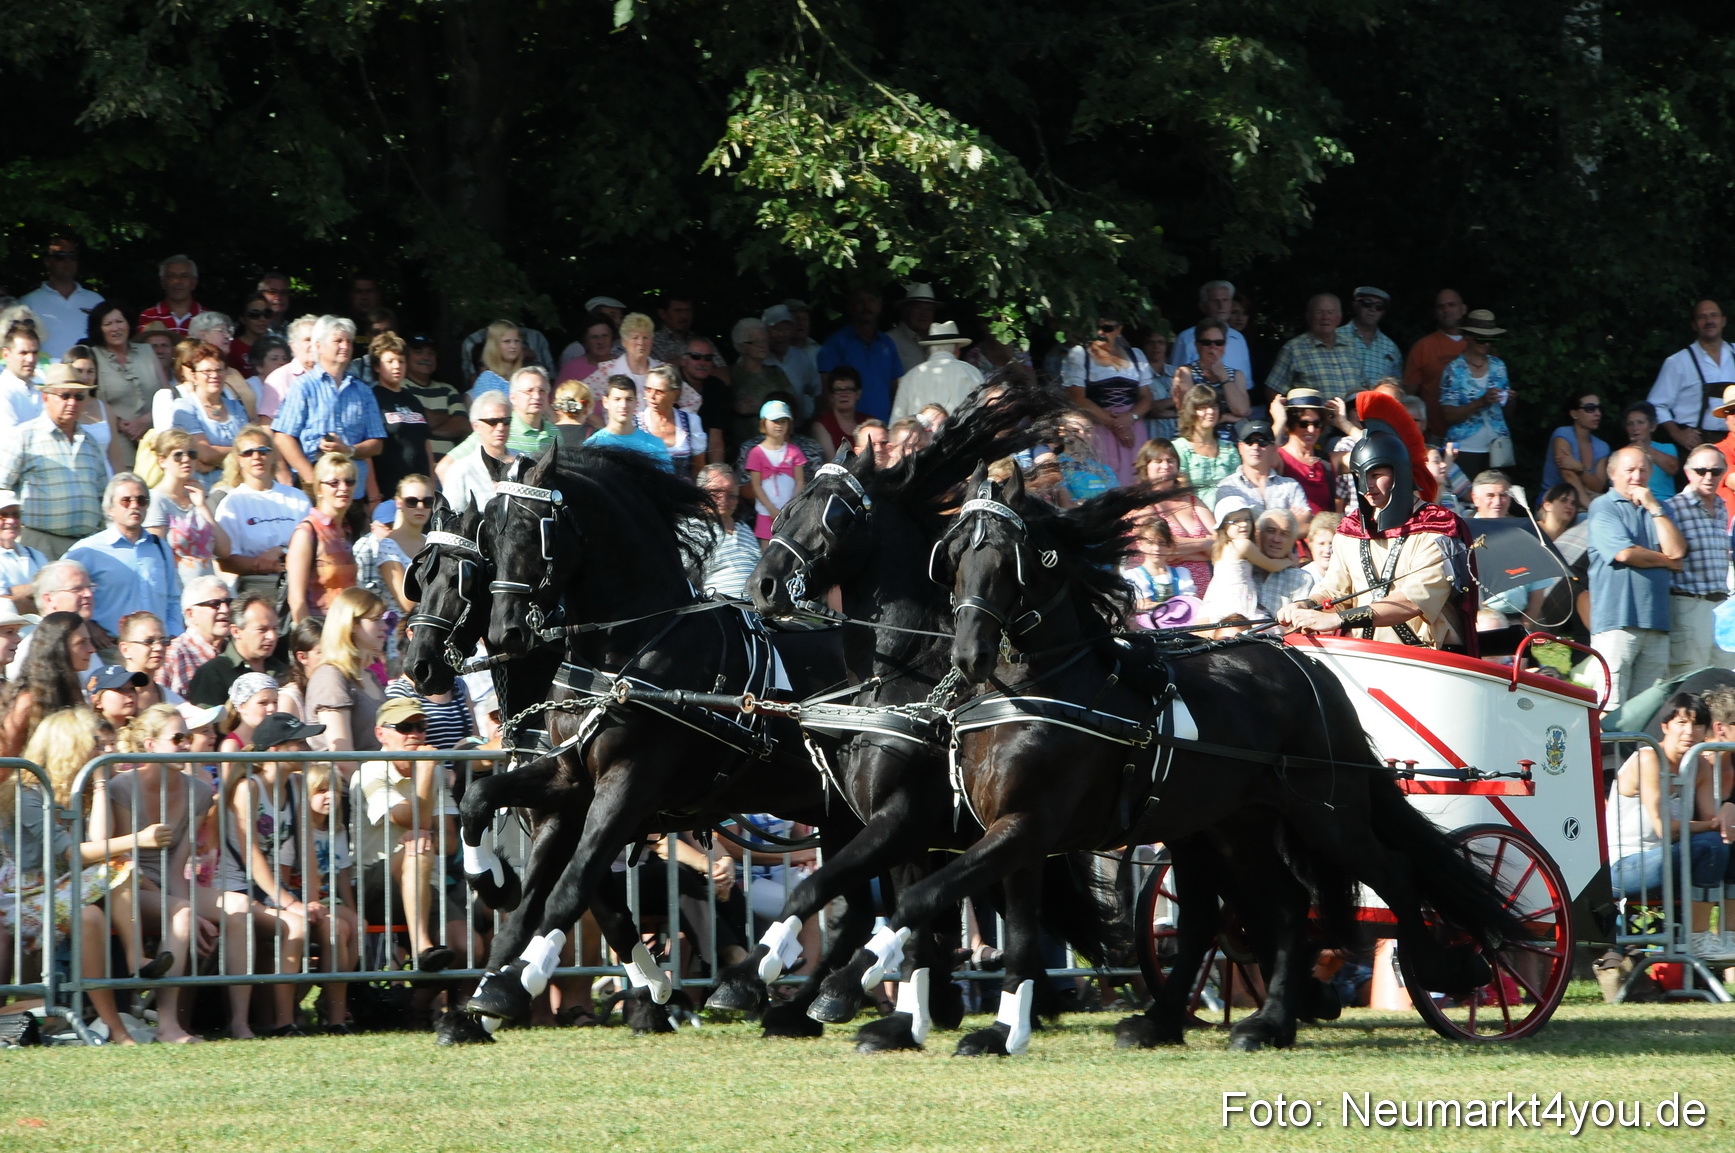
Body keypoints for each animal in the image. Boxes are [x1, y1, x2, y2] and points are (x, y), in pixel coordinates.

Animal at [472, 444, 871, 1034]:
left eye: (533, 529)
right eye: (487, 536)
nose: (506, 634)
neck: (630, 648)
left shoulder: (629, 785)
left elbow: (571, 886)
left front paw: (521, 980)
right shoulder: (569, 780)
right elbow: (490, 822)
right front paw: (492, 903)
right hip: (838, 814)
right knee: (853, 908)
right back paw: (803, 1002)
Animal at [804, 467, 1522, 1055]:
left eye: (1008, 560)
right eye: (952, 557)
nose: (970, 654)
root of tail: (1303, 665)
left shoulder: (1010, 828)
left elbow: (917, 901)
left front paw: (844, 984)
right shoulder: (1007, 834)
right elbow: (1009, 934)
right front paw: (995, 1028)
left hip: (1325, 814)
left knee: (1390, 872)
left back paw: (1440, 967)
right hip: (1231, 825)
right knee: (1277, 908)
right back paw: (1254, 1021)